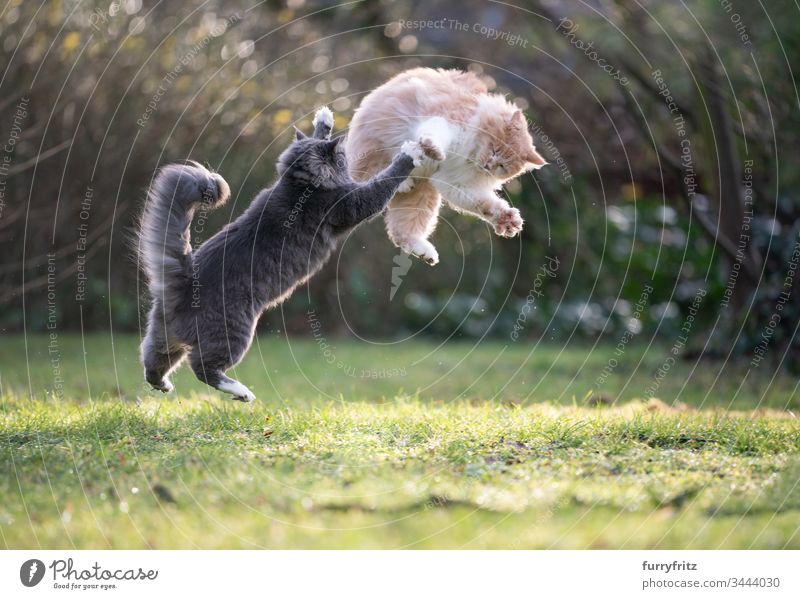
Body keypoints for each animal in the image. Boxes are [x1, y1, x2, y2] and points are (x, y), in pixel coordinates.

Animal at [138, 108, 438, 404]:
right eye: (342, 157)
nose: (347, 155)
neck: (300, 184)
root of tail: (184, 281)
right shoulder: (354, 203)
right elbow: (381, 183)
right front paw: (409, 153)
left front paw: (324, 119)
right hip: (234, 332)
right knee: (203, 368)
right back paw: (241, 392)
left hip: (164, 338)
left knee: (152, 362)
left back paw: (163, 385)